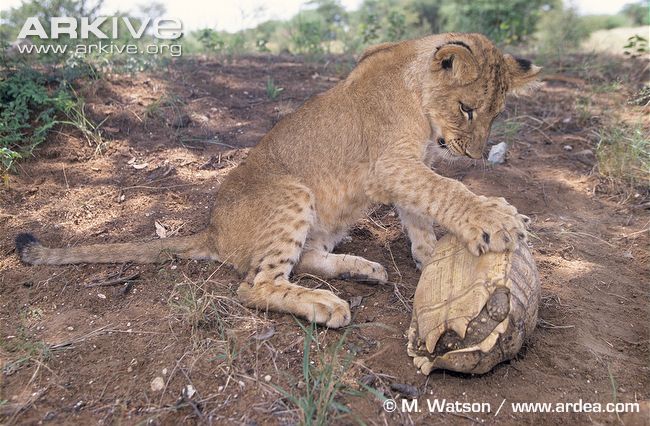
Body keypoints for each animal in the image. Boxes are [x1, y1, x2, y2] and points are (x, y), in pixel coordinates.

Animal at [16, 33, 541, 328]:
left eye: (494, 115)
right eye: (467, 109)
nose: (476, 155)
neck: (417, 91)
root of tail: (214, 232)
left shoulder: (406, 170)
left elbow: (420, 215)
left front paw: (432, 260)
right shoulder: (392, 165)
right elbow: (445, 191)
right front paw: (497, 219)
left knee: (306, 258)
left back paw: (362, 269)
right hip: (291, 194)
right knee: (255, 286)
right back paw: (326, 305)